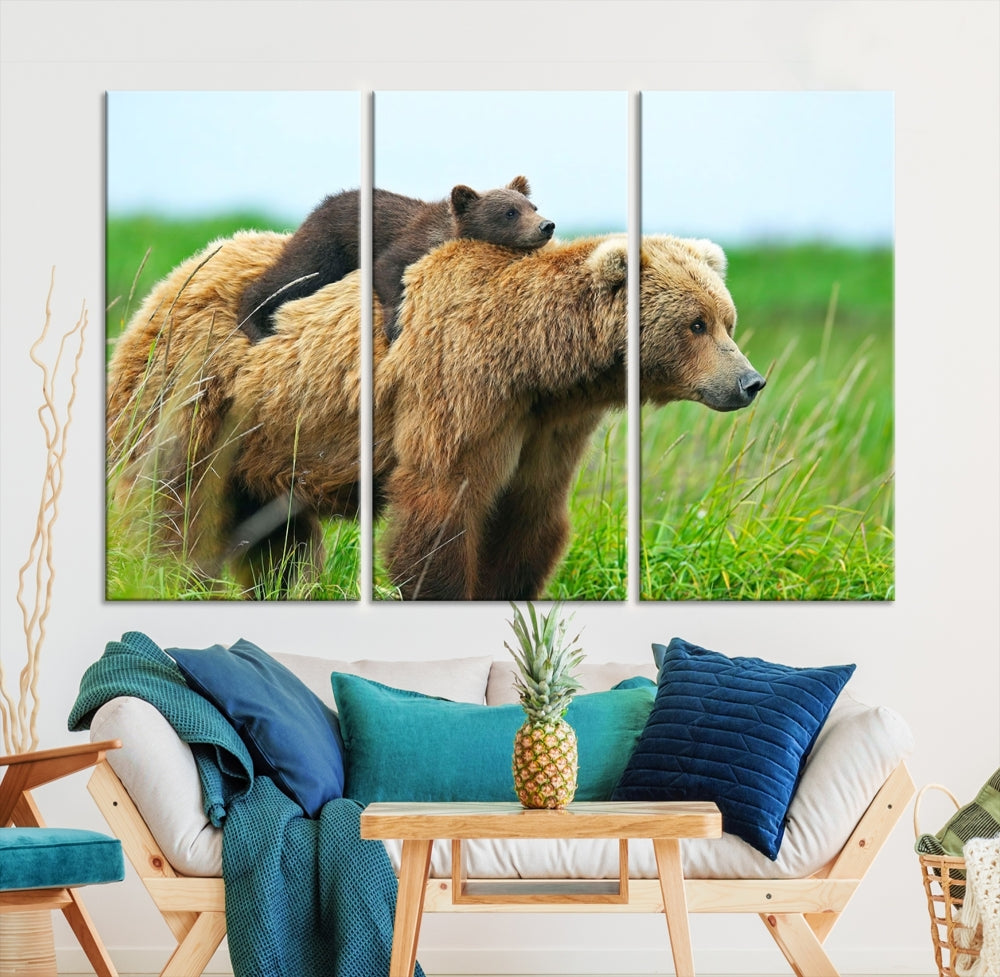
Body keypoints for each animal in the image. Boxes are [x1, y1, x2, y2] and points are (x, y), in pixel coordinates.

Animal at [106, 230, 764, 600]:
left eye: (727, 319)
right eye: (696, 323)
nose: (750, 382)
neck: (537, 363)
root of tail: (169, 280)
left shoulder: (546, 427)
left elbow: (529, 518)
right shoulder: (461, 390)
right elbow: (442, 505)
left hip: (266, 443)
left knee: (277, 539)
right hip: (194, 393)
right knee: (171, 501)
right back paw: (166, 580)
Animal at [236, 175, 555, 345]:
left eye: (533, 206)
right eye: (510, 212)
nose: (546, 225)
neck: (446, 231)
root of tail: (321, 204)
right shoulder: (409, 242)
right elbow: (388, 269)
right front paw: (395, 326)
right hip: (327, 244)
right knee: (294, 274)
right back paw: (255, 323)